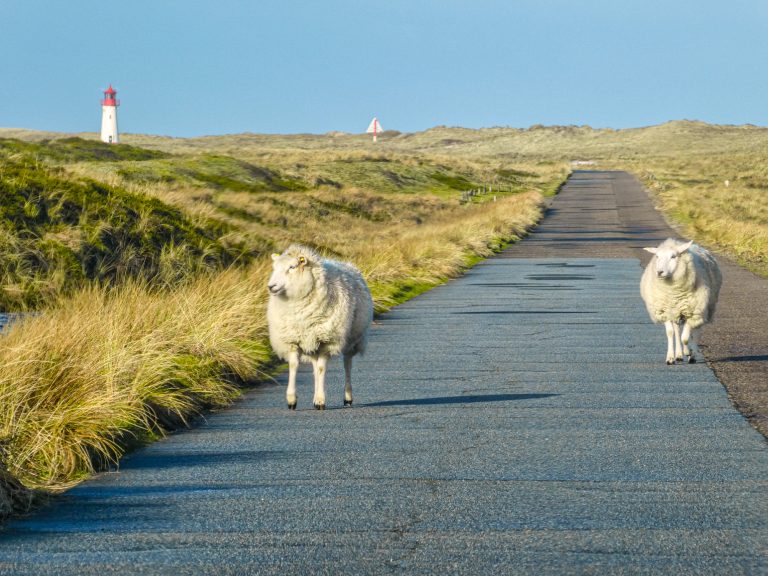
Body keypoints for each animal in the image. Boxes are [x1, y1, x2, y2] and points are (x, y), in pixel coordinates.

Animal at [267, 245, 373, 410]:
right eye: (275, 267)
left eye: (292, 267)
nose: (271, 286)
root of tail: (348, 265)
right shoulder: (293, 340)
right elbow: (294, 366)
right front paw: (292, 399)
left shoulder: (326, 341)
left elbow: (323, 368)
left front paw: (321, 400)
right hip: (311, 340)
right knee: (315, 368)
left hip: (351, 339)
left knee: (347, 365)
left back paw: (347, 397)